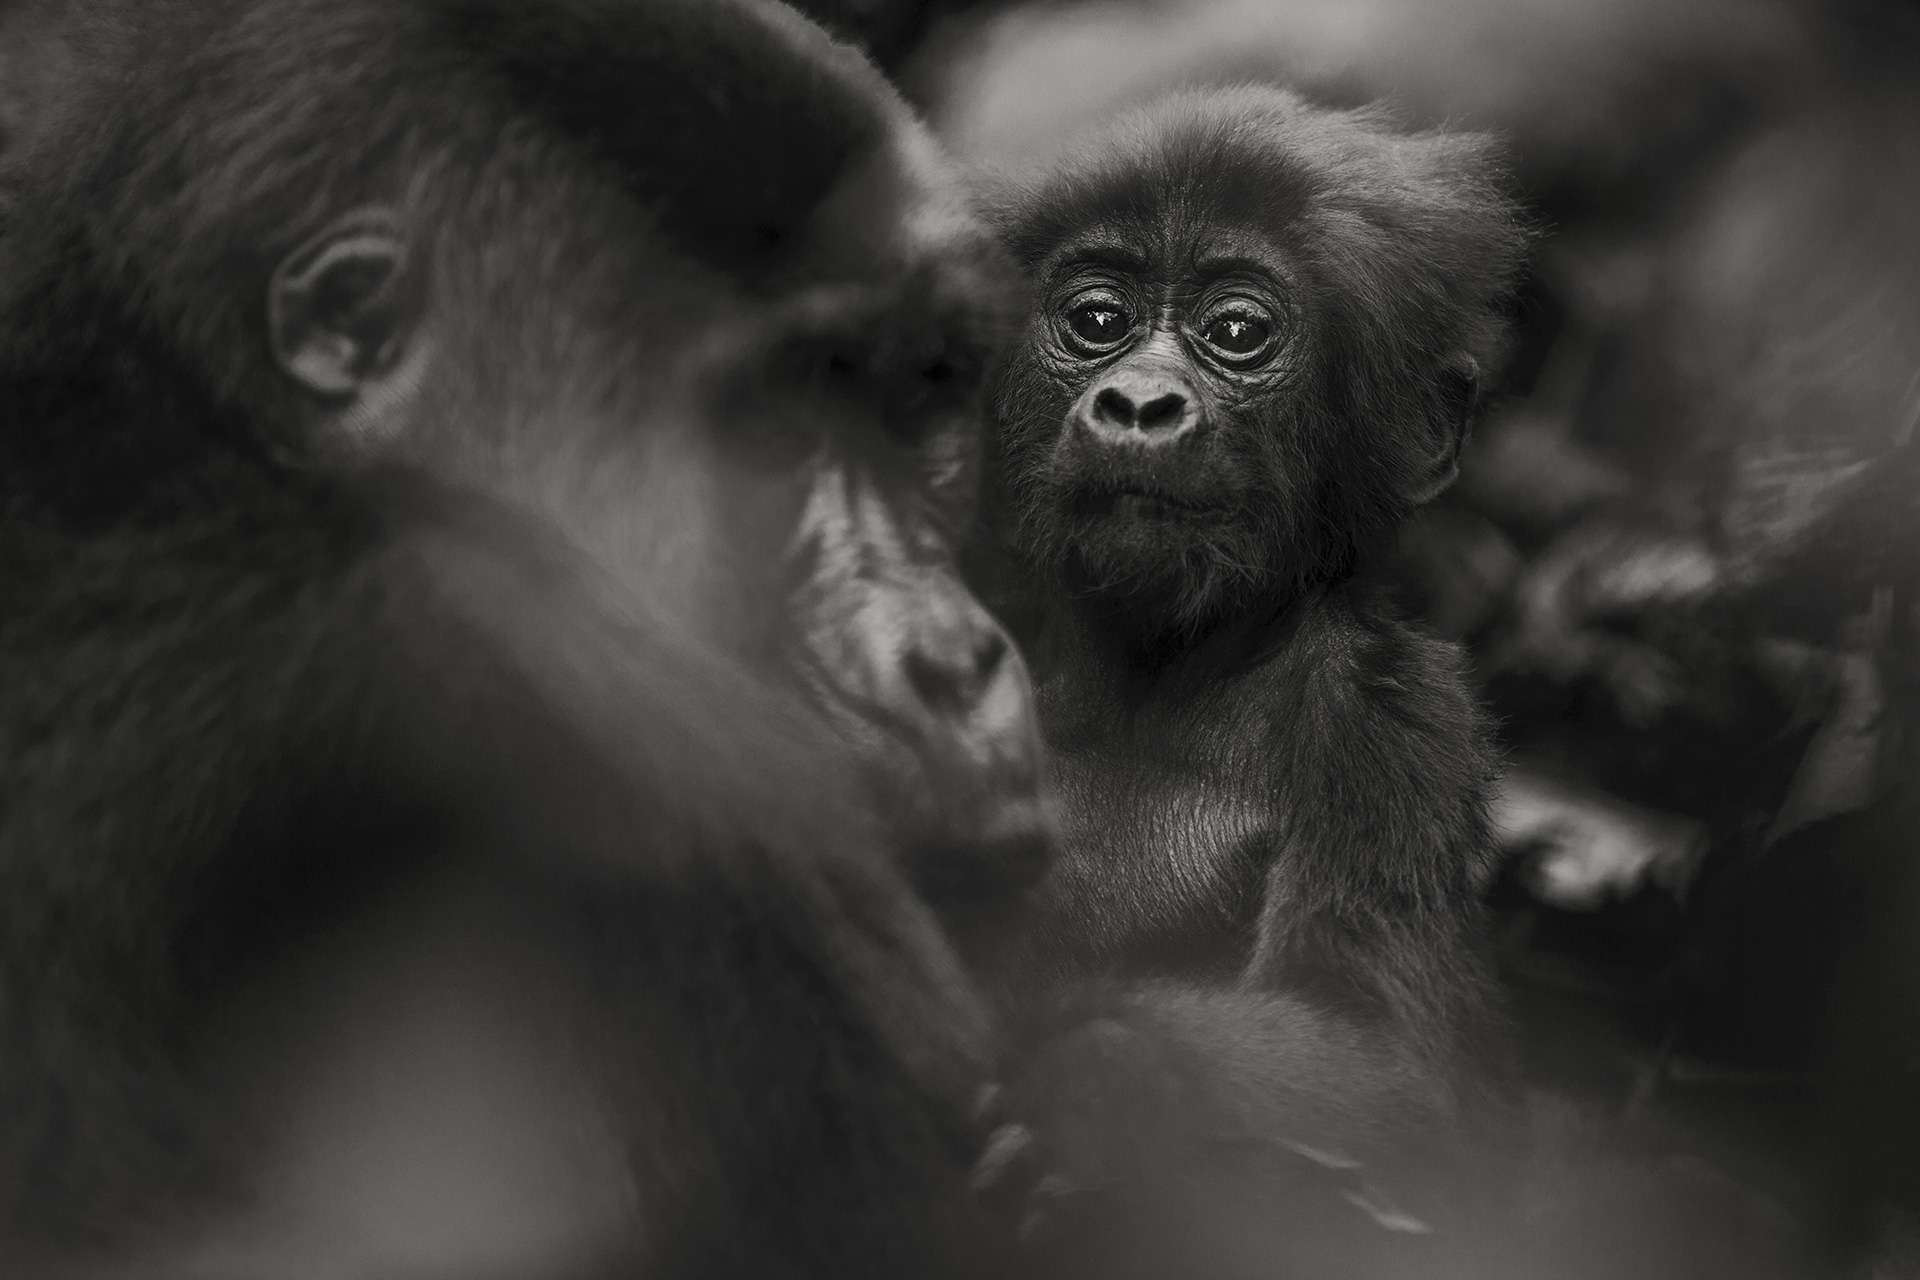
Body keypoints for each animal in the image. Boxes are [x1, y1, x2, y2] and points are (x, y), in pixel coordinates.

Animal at [975, 84, 1528, 1274]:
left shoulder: (1394, 717)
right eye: (1098, 319)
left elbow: (1391, 1069)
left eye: (1237, 333)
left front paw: (1095, 1092)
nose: (1140, 403)